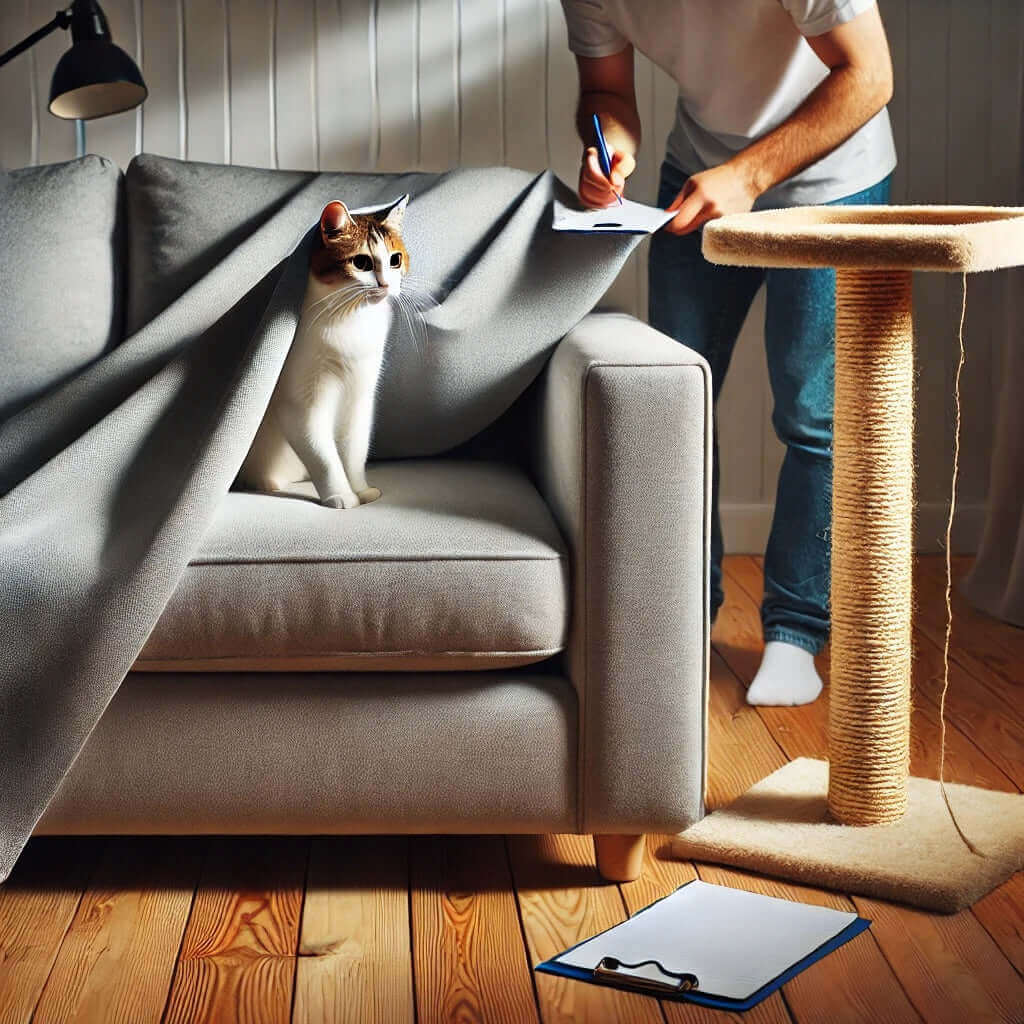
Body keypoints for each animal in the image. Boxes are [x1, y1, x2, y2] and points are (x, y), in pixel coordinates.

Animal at [239, 194, 411, 507]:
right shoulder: (300, 405)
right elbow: (324, 458)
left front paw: (361, 489)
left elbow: (354, 451)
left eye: (395, 259)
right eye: (362, 262)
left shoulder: (360, 397)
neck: (349, 320)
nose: (385, 284)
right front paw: (341, 495)